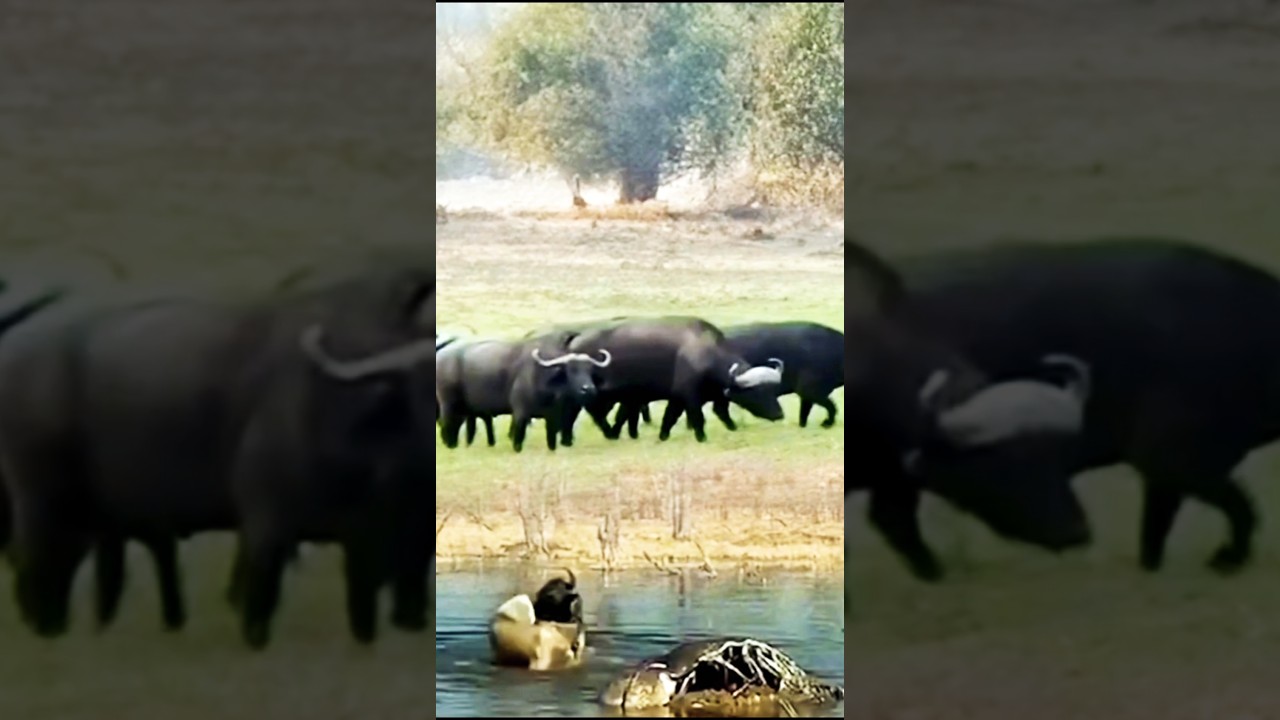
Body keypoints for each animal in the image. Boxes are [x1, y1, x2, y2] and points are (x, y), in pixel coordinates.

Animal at [0, 264, 435, 648]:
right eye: (409, 389)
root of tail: (21, 358)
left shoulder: (379, 545)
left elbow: (369, 617)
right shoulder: (265, 529)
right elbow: (257, 607)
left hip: (95, 519)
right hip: (43, 504)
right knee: (36, 566)